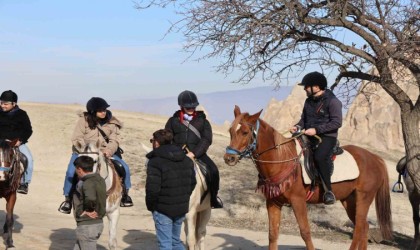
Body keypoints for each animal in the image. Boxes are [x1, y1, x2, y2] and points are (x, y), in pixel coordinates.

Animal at [225, 106, 392, 250]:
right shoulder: (272, 202)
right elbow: (273, 234)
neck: (282, 160)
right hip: (349, 200)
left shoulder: (298, 201)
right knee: (363, 227)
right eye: (231, 131)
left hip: (364, 198)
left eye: (245, 132)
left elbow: (305, 232)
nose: (229, 158)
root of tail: (375, 158)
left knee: (358, 228)